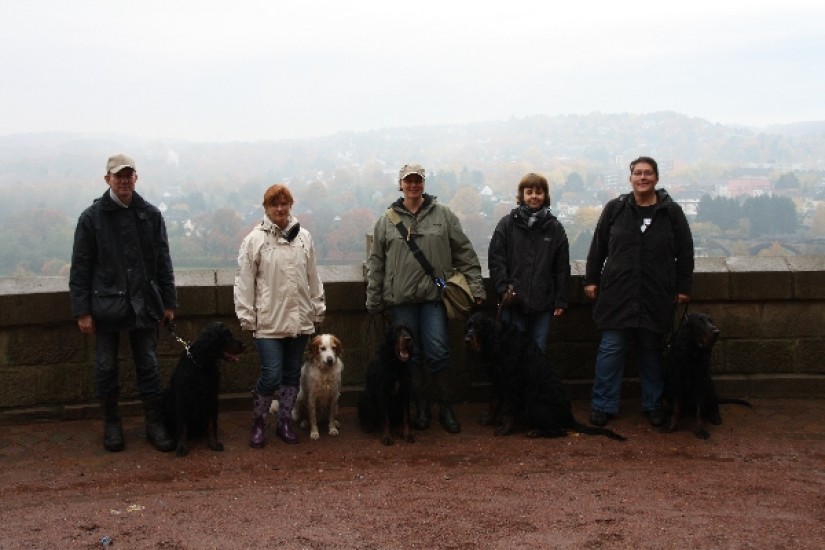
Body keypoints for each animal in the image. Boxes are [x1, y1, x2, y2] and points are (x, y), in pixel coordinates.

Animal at [162, 321, 245, 456]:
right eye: (227, 336)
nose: (244, 345)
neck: (201, 365)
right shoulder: (182, 398)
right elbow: (182, 425)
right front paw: (181, 445)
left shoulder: (211, 397)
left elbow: (211, 423)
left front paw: (213, 442)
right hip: (167, 396)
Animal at [464, 312, 625, 441]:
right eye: (469, 325)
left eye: (478, 327)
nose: (466, 340)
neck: (498, 340)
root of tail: (569, 415)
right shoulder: (498, 380)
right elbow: (493, 401)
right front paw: (488, 419)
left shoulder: (511, 384)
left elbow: (508, 408)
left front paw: (504, 428)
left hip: (534, 404)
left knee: (560, 431)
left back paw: (536, 432)